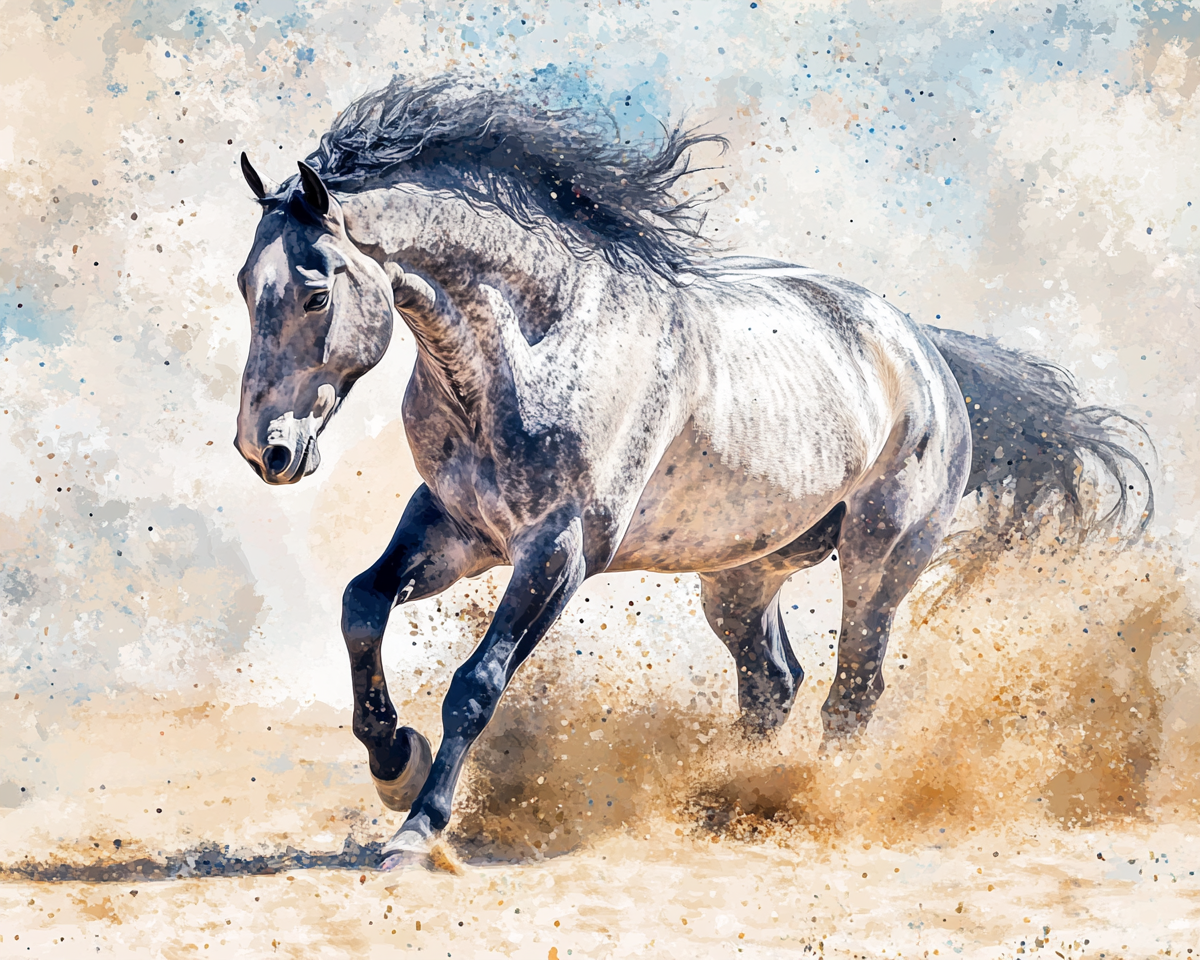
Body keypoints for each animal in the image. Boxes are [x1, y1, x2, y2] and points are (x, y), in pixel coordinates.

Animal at [231, 76, 1152, 869]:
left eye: (315, 292)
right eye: (246, 285)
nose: (264, 451)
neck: (539, 339)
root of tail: (922, 347)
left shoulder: (558, 551)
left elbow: (477, 682)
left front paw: (416, 830)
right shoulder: (458, 527)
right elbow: (361, 605)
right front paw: (394, 762)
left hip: (882, 553)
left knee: (853, 687)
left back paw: (813, 802)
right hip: (742, 575)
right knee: (773, 681)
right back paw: (724, 799)